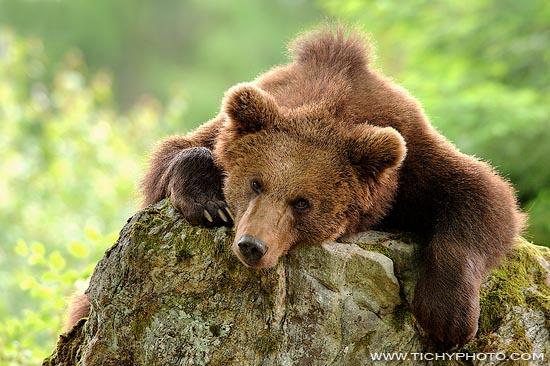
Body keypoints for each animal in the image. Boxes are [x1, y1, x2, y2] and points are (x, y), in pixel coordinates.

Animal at [143, 27, 528, 348]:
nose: (252, 245)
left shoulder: (413, 159)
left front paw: (447, 317)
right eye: (255, 183)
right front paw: (209, 203)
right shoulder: (228, 126)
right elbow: (173, 155)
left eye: (302, 202)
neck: (332, 97)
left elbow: (481, 193)